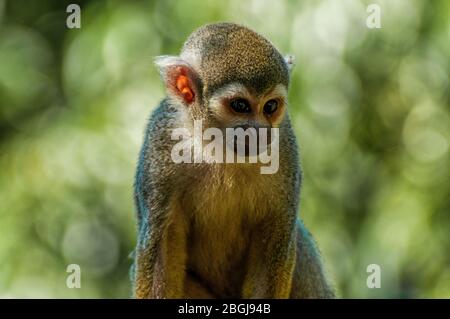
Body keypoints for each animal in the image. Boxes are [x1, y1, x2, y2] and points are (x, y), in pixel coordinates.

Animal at [130, 23, 334, 300]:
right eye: (240, 105)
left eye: (270, 107)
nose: (261, 133)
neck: (218, 148)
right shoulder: (160, 141)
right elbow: (162, 247)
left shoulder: (285, 143)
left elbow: (276, 238)